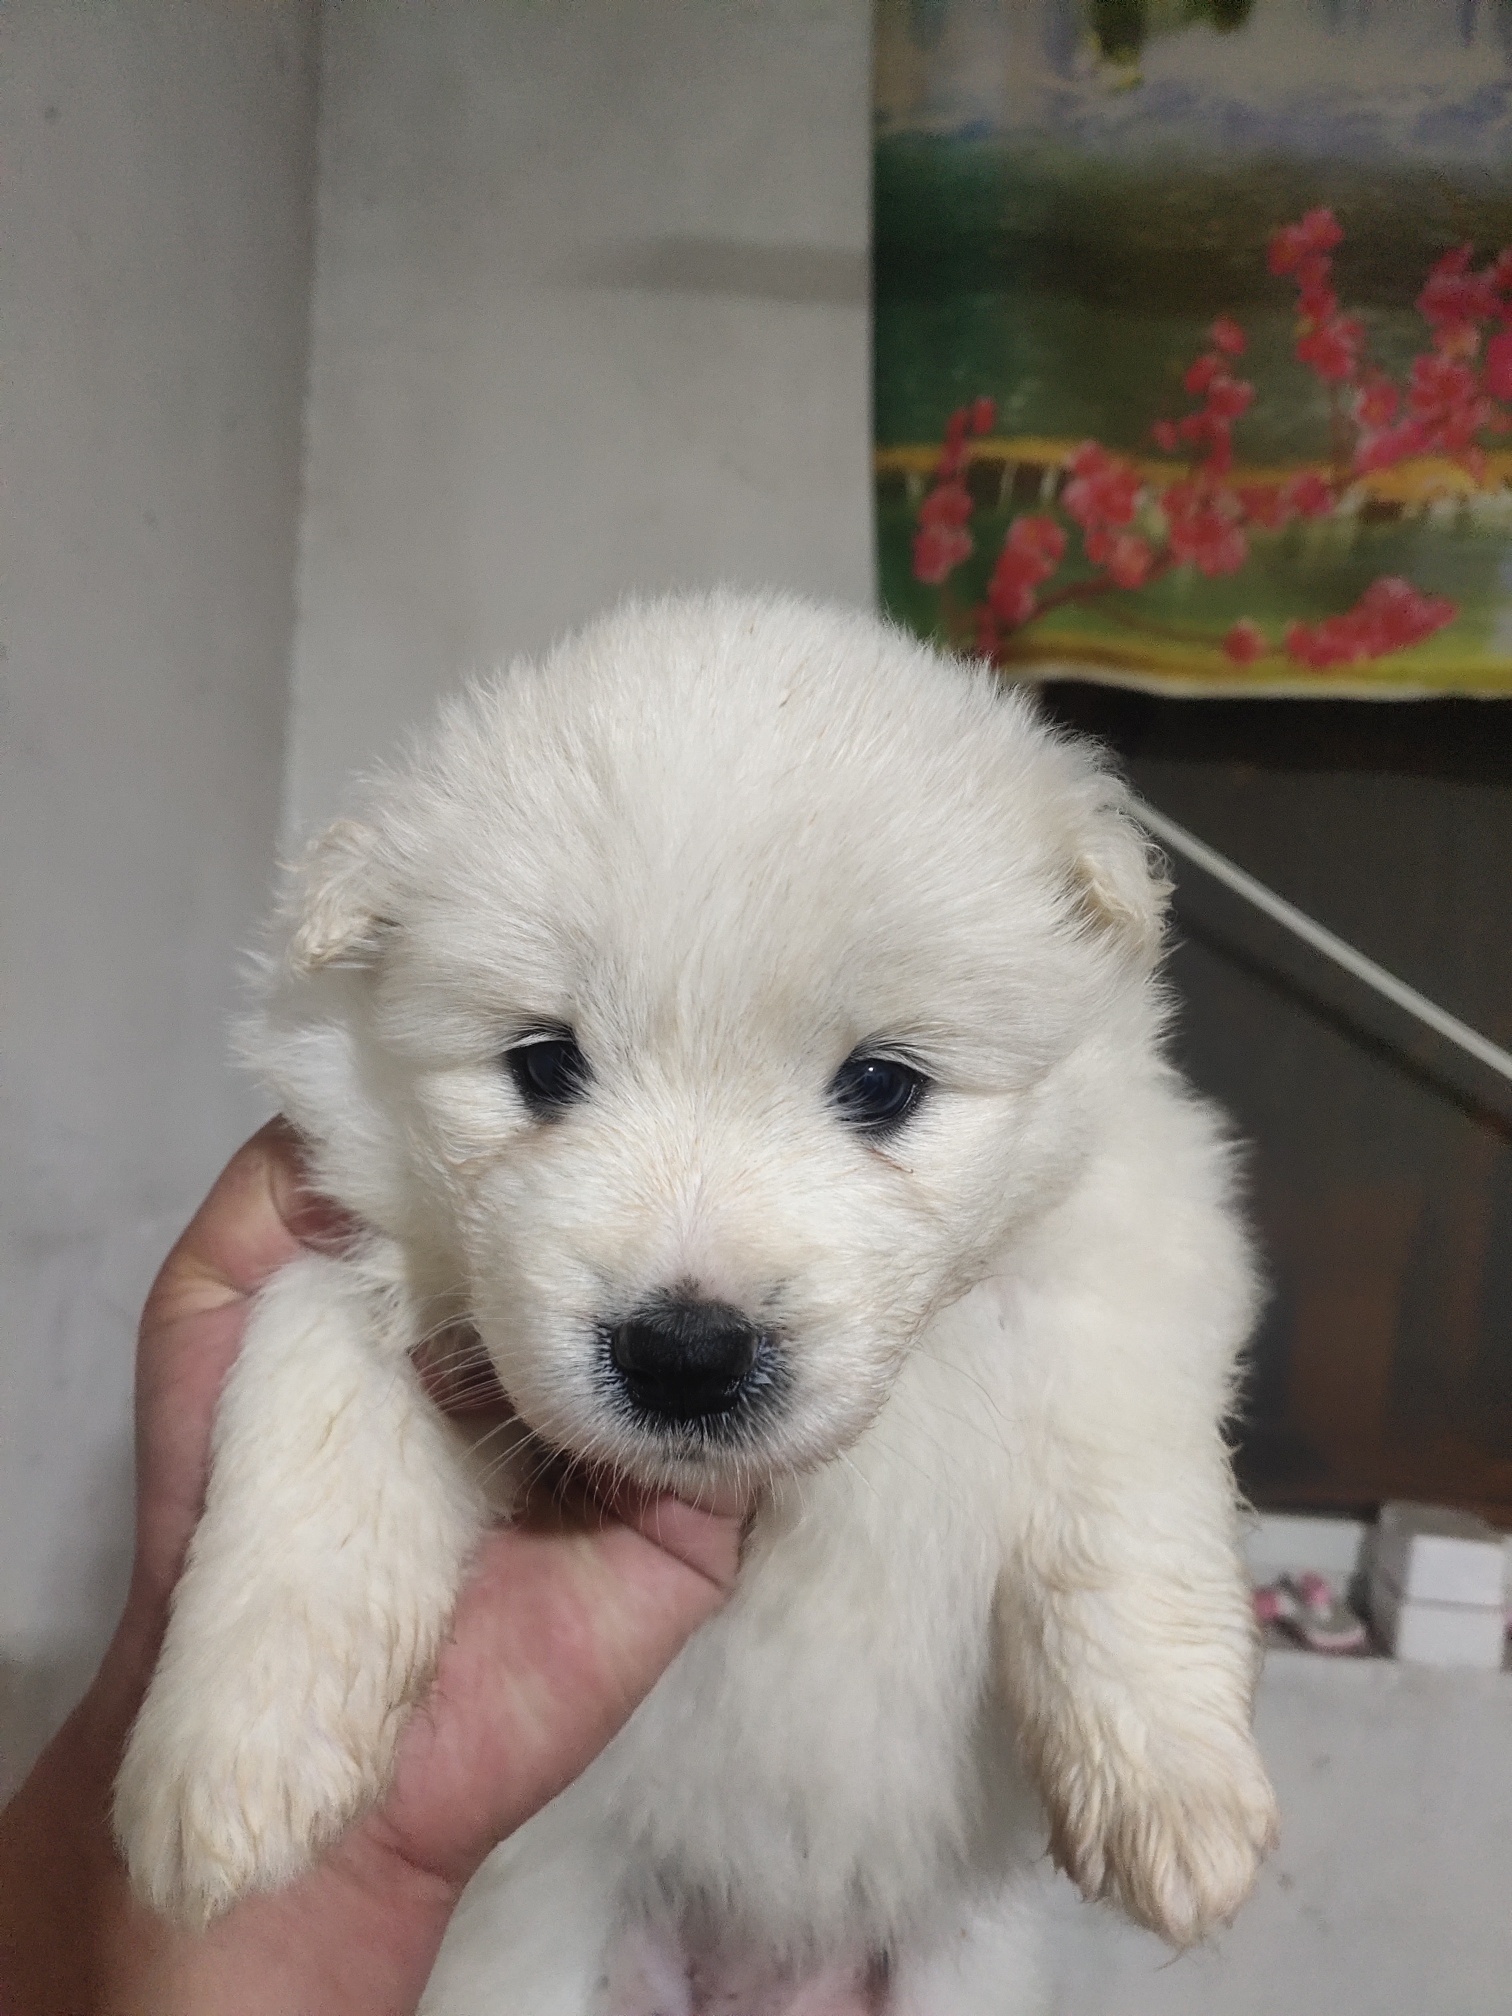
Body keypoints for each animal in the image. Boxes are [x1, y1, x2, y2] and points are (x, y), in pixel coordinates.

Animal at [114, 592, 1276, 2013]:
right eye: (543, 1066)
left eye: (882, 1084)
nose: (684, 1354)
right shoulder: (352, 1256)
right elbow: (308, 1421)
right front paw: (228, 1759)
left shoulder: (1130, 1247)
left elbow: (1126, 1490)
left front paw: (1175, 1786)